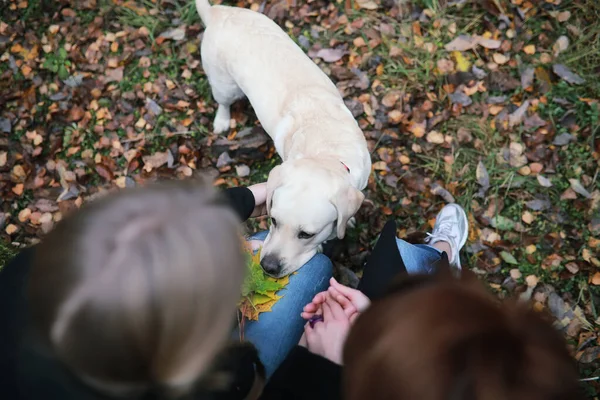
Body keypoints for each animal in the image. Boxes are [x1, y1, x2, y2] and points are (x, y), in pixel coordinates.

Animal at [196, 0, 370, 276]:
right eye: (273, 220)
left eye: (306, 234)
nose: (268, 267)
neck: (325, 152)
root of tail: (218, 13)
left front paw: (350, 219)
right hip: (224, 85)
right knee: (223, 102)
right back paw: (222, 120)